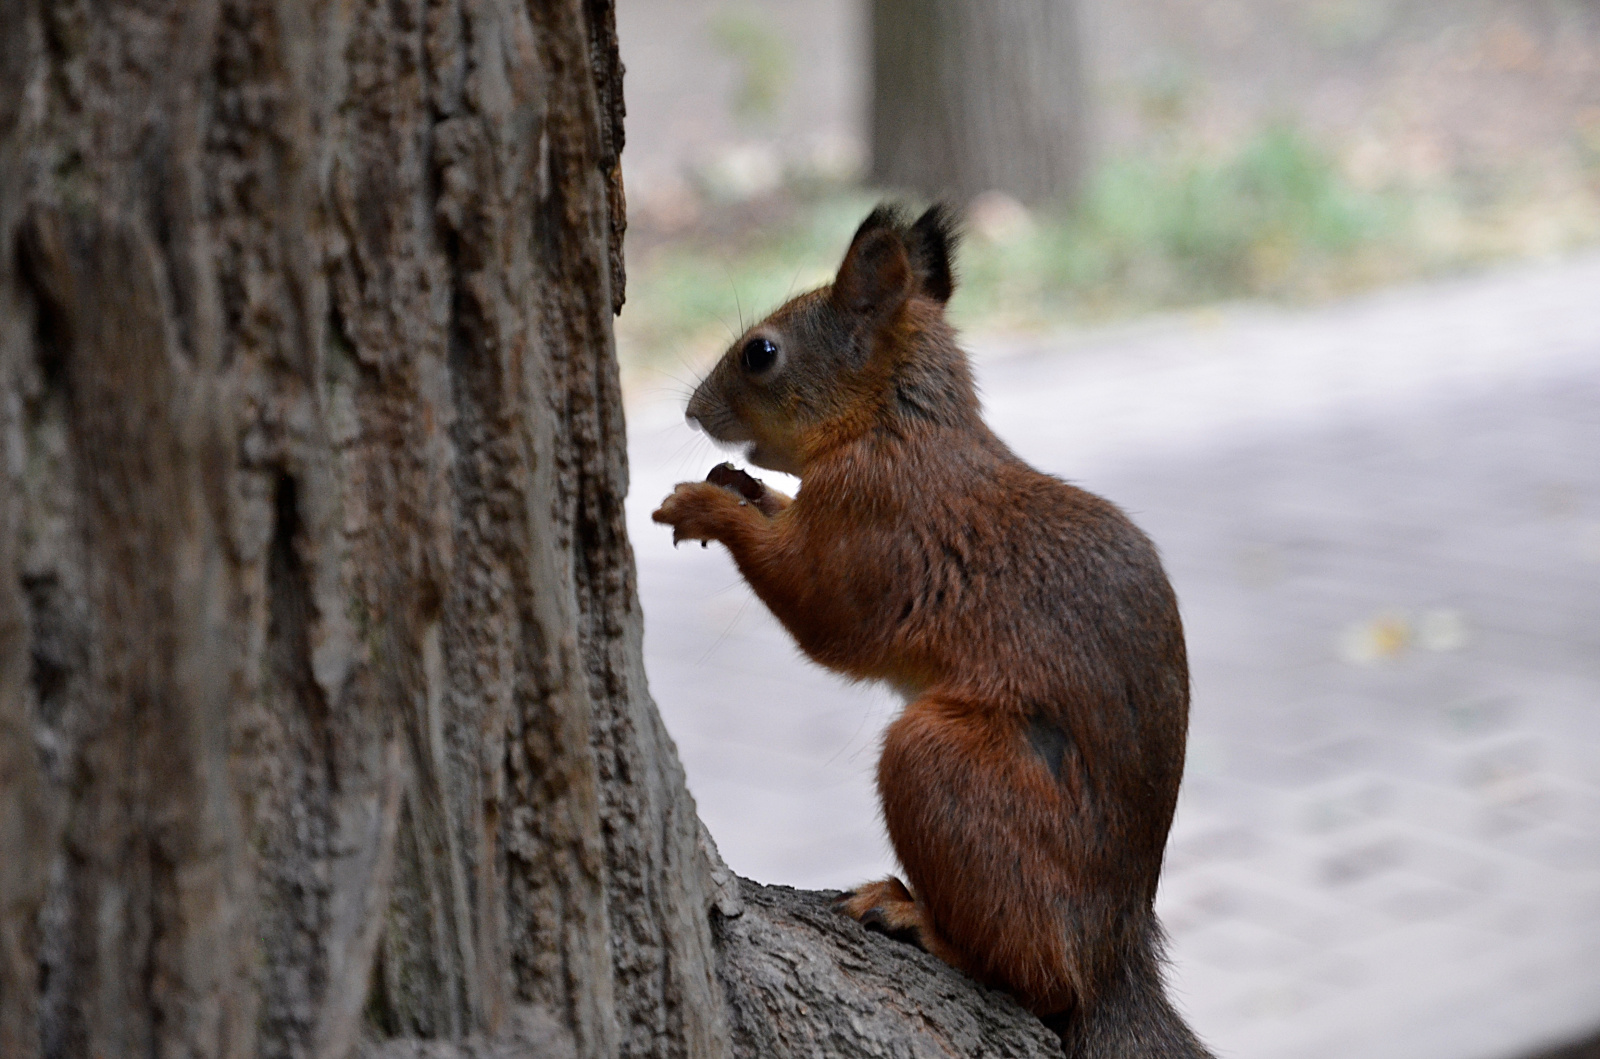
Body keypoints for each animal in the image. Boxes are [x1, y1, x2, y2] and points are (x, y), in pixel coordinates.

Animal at [656, 203, 1203, 1055]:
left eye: (761, 353)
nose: (690, 409)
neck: (893, 425)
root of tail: (1114, 956)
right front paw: (743, 487)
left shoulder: (875, 528)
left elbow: (822, 609)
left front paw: (709, 508)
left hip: (943, 763)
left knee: (1041, 980)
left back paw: (918, 918)